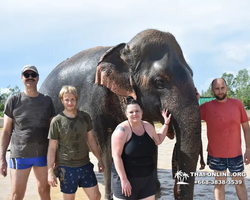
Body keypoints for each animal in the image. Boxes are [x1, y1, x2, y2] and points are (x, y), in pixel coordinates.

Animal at [40, 28, 202, 200]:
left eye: (192, 74)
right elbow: (106, 145)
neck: (123, 50)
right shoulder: (94, 101)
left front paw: (155, 192)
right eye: (159, 82)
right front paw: (111, 195)